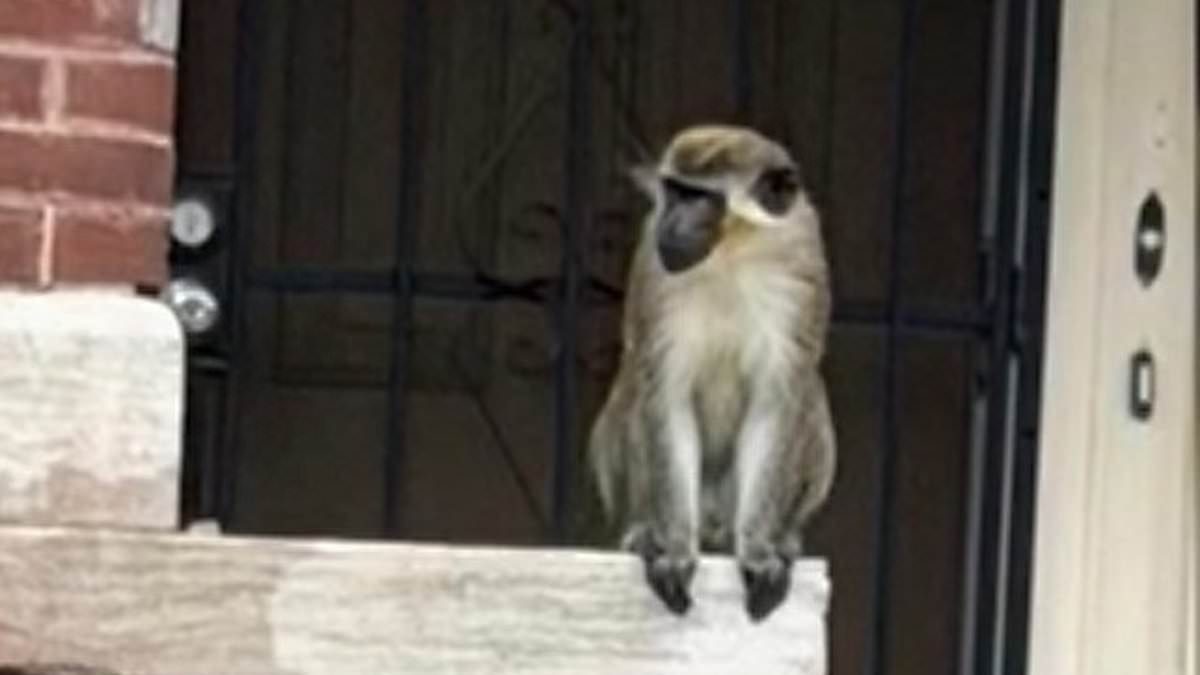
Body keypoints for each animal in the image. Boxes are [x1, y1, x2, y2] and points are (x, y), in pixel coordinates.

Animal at [588, 125, 836, 622]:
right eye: (673, 191)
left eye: (700, 198)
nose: (669, 223)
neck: (731, 253)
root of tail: (715, 520)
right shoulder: (653, 264)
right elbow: (665, 396)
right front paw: (676, 549)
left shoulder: (803, 265)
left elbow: (779, 398)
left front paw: (758, 551)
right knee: (635, 385)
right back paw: (646, 529)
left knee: (810, 392)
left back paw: (782, 537)